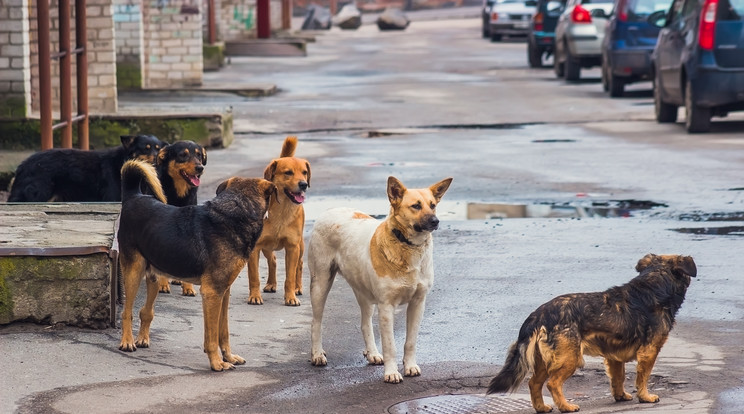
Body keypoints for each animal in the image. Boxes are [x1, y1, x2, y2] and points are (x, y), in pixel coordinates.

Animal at [117, 159, 274, 372]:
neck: (236, 211)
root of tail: (134, 196)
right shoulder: (212, 293)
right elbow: (211, 336)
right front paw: (216, 363)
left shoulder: (223, 292)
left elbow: (223, 331)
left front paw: (229, 357)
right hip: (133, 272)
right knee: (127, 312)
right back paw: (127, 341)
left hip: (154, 276)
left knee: (145, 311)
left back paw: (142, 338)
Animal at [153, 141, 206, 296]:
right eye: (183, 155)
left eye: (199, 155)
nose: (200, 168)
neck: (179, 194)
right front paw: (163, 284)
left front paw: (188, 287)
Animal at [248, 134, 310, 306]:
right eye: (288, 172)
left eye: (304, 172)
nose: (304, 184)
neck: (282, 211)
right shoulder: (255, 248)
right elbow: (254, 277)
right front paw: (254, 296)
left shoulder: (292, 247)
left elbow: (289, 277)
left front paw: (291, 297)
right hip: (266, 247)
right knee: (273, 260)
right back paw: (271, 284)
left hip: (300, 246)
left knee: (299, 265)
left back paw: (298, 287)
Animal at [308, 175, 454, 382]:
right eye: (416, 206)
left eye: (432, 205)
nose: (435, 221)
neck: (407, 245)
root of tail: (330, 210)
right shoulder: (386, 307)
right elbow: (390, 345)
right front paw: (391, 373)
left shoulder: (418, 303)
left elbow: (410, 341)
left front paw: (410, 366)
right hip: (320, 283)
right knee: (316, 322)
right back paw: (317, 354)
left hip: (363, 292)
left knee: (365, 324)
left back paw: (372, 353)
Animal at [488, 254, 696, 412]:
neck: (655, 284)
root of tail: (539, 314)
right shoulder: (649, 351)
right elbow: (643, 377)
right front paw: (645, 396)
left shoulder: (614, 356)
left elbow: (618, 378)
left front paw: (620, 396)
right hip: (570, 358)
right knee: (553, 383)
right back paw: (566, 406)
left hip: (544, 361)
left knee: (534, 383)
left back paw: (542, 407)